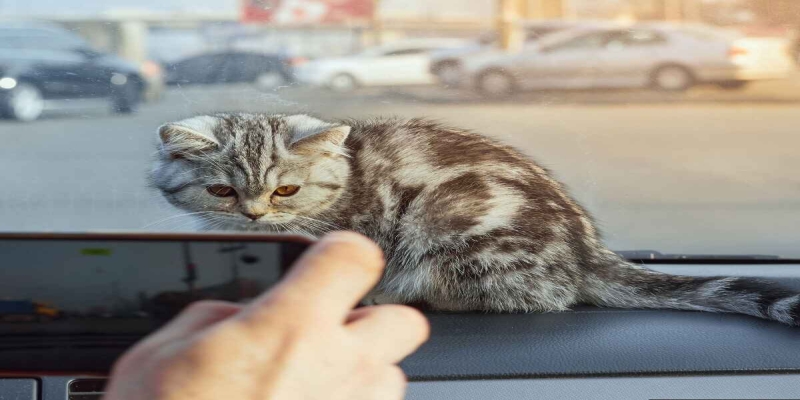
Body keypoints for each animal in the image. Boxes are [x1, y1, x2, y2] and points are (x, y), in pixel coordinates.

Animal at [152, 111, 800, 324]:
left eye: (285, 190)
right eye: (221, 190)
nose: (255, 213)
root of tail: (585, 249)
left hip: (448, 223)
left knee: (521, 296)